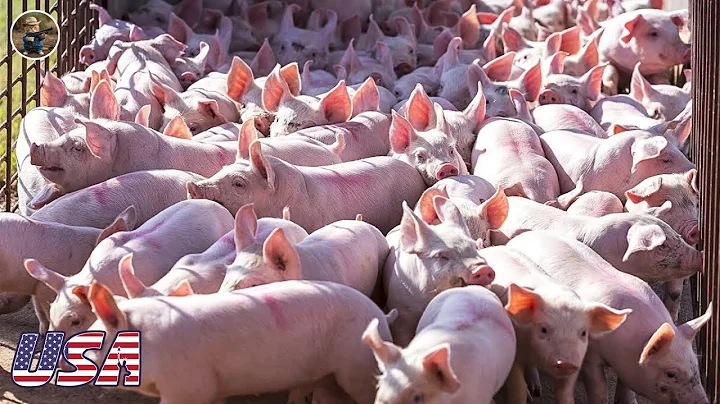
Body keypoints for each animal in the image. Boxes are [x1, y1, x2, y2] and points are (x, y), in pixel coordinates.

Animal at [85, 280, 392, 403]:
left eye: (94, 341)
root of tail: (381, 316)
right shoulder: (212, 389)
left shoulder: (187, 386)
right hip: (329, 377)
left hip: (357, 368)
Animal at [479, 245, 630, 404]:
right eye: (543, 329)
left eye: (583, 333)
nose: (565, 363)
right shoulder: (515, 353)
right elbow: (518, 388)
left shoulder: (577, 361)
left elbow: (565, 393)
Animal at [507, 231, 712, 404]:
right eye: (670, 374)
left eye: (696, 364)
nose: (703, 402)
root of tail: (519, 238)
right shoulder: (591, 355)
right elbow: (598, 391)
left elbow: (626, 387)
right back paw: (535, 392)